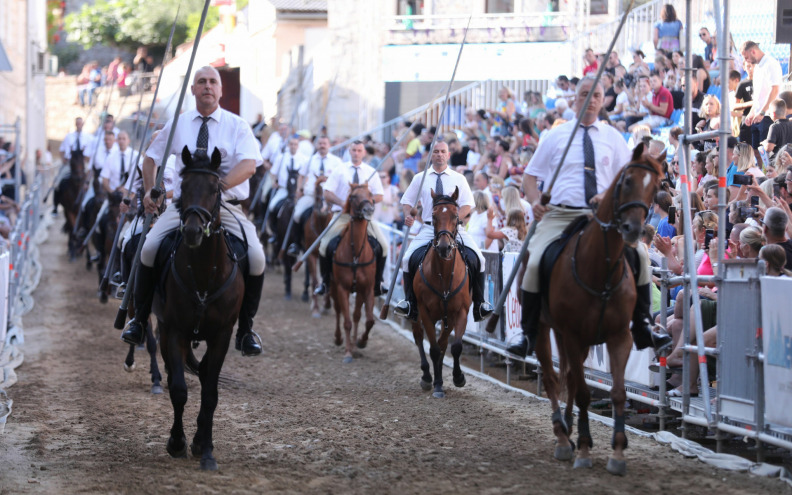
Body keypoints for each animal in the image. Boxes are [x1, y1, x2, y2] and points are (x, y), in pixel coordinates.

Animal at [152, 146, 244, 468]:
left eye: (215, 189)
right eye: (184, 186)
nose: (192, 231)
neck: (204, 273)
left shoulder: (222, 335)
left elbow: (210, 394)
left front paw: (205, 449)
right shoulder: (175, 331)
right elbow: (179, 390)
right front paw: (177, 442)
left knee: (205, 377)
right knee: (173, 375)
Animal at [330, 184, 376, 362]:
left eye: (370, 194)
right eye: (353, 196)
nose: (368, 209)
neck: (356, 254)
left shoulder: (367, 288)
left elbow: (368, 320)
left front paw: (361, 342)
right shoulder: (342, 288)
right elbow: (347, 321)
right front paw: (348, 352)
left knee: (356, 315)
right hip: (333, 287)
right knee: (337, 310)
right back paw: (339, 339)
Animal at [408, 188, 470, 402]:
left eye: (456, 216)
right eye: (433, 217)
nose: (444, 247)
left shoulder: (460, 312)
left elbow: (454, 346)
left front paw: (458, 377)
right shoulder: (425, 311)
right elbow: (433, 348)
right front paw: (436, 385)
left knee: (442, 342)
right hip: (416, 314)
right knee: (418, 337)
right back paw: (428, 376)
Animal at [532, 144, 664, 476]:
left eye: (656, 188)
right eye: (627, 180)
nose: (633, 230)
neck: (600, 270)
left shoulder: (620, 337)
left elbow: (617, 392)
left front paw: (617, 452)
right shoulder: (574, 335)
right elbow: (582, 392)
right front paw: (582, 449)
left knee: (567, 376)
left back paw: (569, 428)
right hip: (544, 329)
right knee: (553, 378)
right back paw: (563, 437)